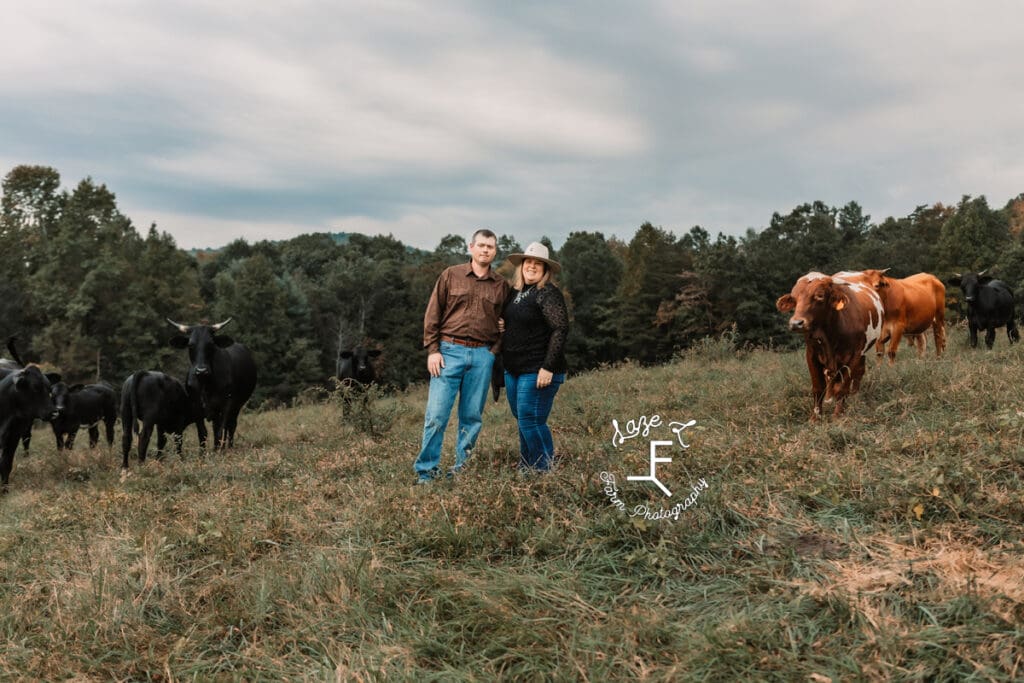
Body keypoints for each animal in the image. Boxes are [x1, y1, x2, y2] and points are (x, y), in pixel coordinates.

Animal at [166, 319, 256, 450]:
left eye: (211, 344)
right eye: (190, 345)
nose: (201, 370)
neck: (206, 384)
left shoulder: (227, 404)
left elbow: (220, 431)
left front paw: (218, 452)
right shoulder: (196, 406)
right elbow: (202, 433)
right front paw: (203, 454)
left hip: (237, 406)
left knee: (231, 426)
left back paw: (228, 448)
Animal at [778, 270, 884, 417]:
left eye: (820, 295)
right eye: (794, 298)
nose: (796, 323)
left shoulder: (854, 355)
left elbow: (843, 387)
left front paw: (837, 415)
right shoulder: (811, 354)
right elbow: (818, 388)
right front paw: (816, 417)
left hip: (863, 351)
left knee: (858, 372)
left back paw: (855, 396)